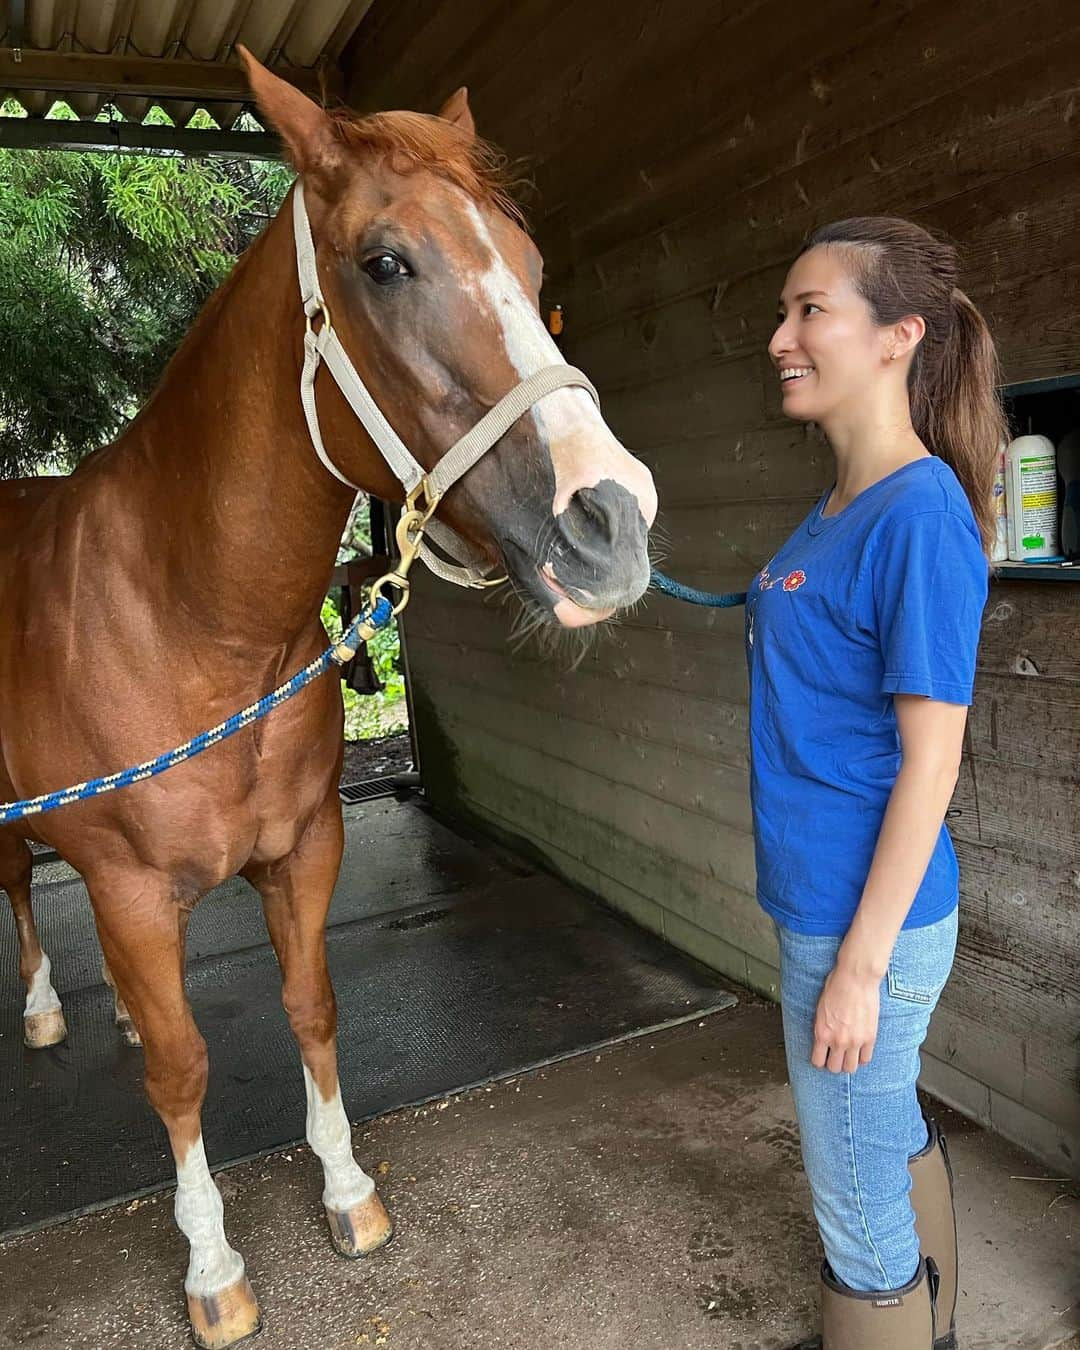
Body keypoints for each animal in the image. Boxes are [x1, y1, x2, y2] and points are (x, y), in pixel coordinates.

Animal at [0, 47, 658, 1350]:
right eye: (385, 262)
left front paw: (350, 1190)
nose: (612, 522)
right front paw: (212, 1269)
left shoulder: (305, 847)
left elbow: (312, 1008)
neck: (194, 627)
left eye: (535, 268)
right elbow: (184, 1073)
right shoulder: (131, 890)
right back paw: (50, 1011)